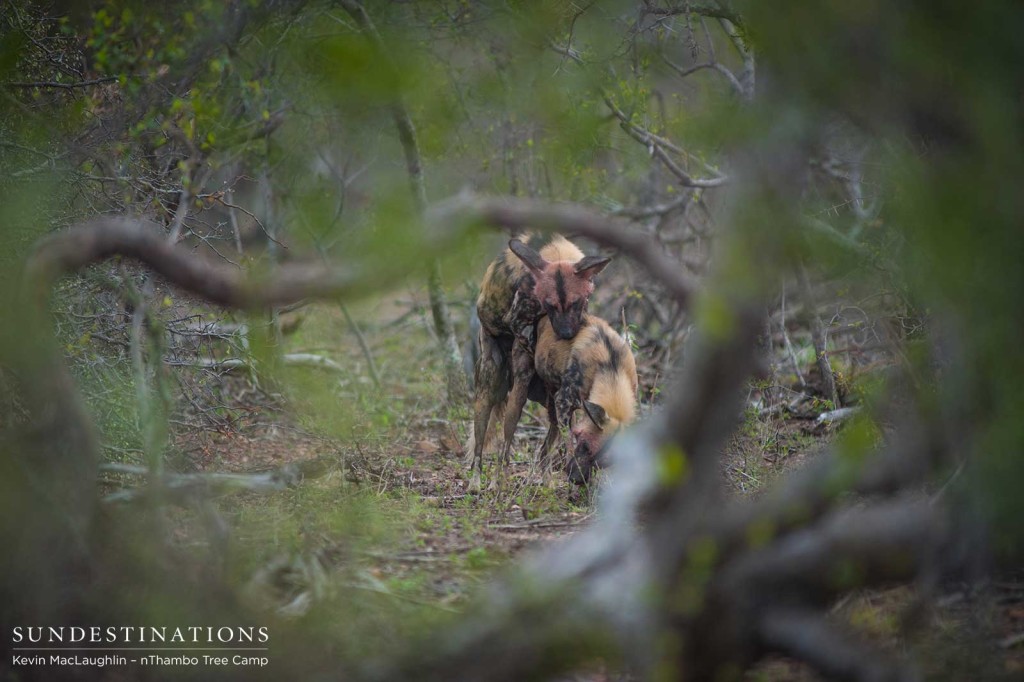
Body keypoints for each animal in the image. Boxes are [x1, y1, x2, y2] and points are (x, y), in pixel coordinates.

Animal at [468, 233, 610, 489]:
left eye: (577, 303)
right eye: (549, 305)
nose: (566, 334)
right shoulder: (517, 321)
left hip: (550, 405)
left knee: (547, 444)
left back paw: (545, 480)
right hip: (494, 390)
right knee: (491, 446)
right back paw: (484, 483)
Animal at [532, 313, 634, 483]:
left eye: (604, 462)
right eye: (585, 446)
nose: (575, 479)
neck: (610, 368)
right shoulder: (563, 402)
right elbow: (567, 445)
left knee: (545, 447)